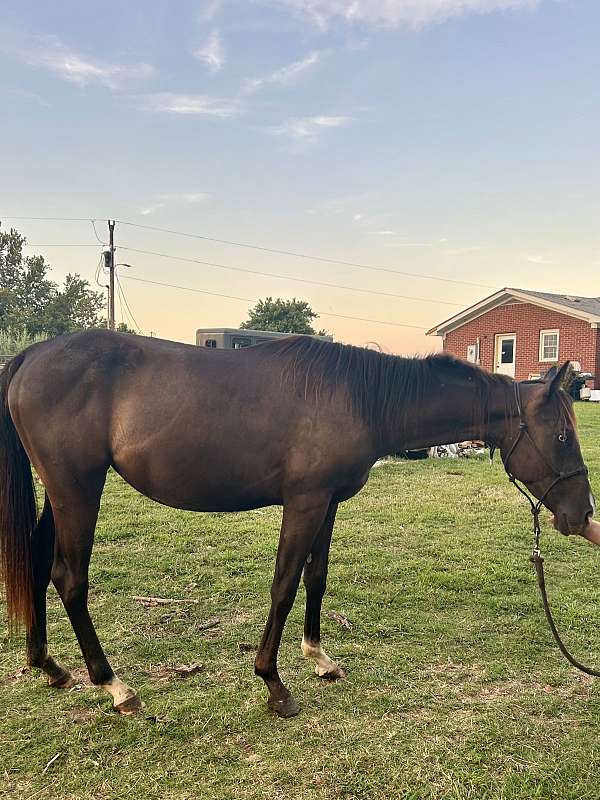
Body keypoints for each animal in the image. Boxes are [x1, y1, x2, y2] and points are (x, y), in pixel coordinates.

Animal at [0, 330, 593, 717]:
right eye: (563, 435)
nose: (581, 514)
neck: (358, 398)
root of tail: (29, 356)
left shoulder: (327, 503)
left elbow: (316, 577)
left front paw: (318, 657)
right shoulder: (304, 502)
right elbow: (284, 585)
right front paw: (273, 683)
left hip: (62, 492)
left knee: (39, 563)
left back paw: (49, 665)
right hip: (78, 489)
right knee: (70, 579)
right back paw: (114, 686)